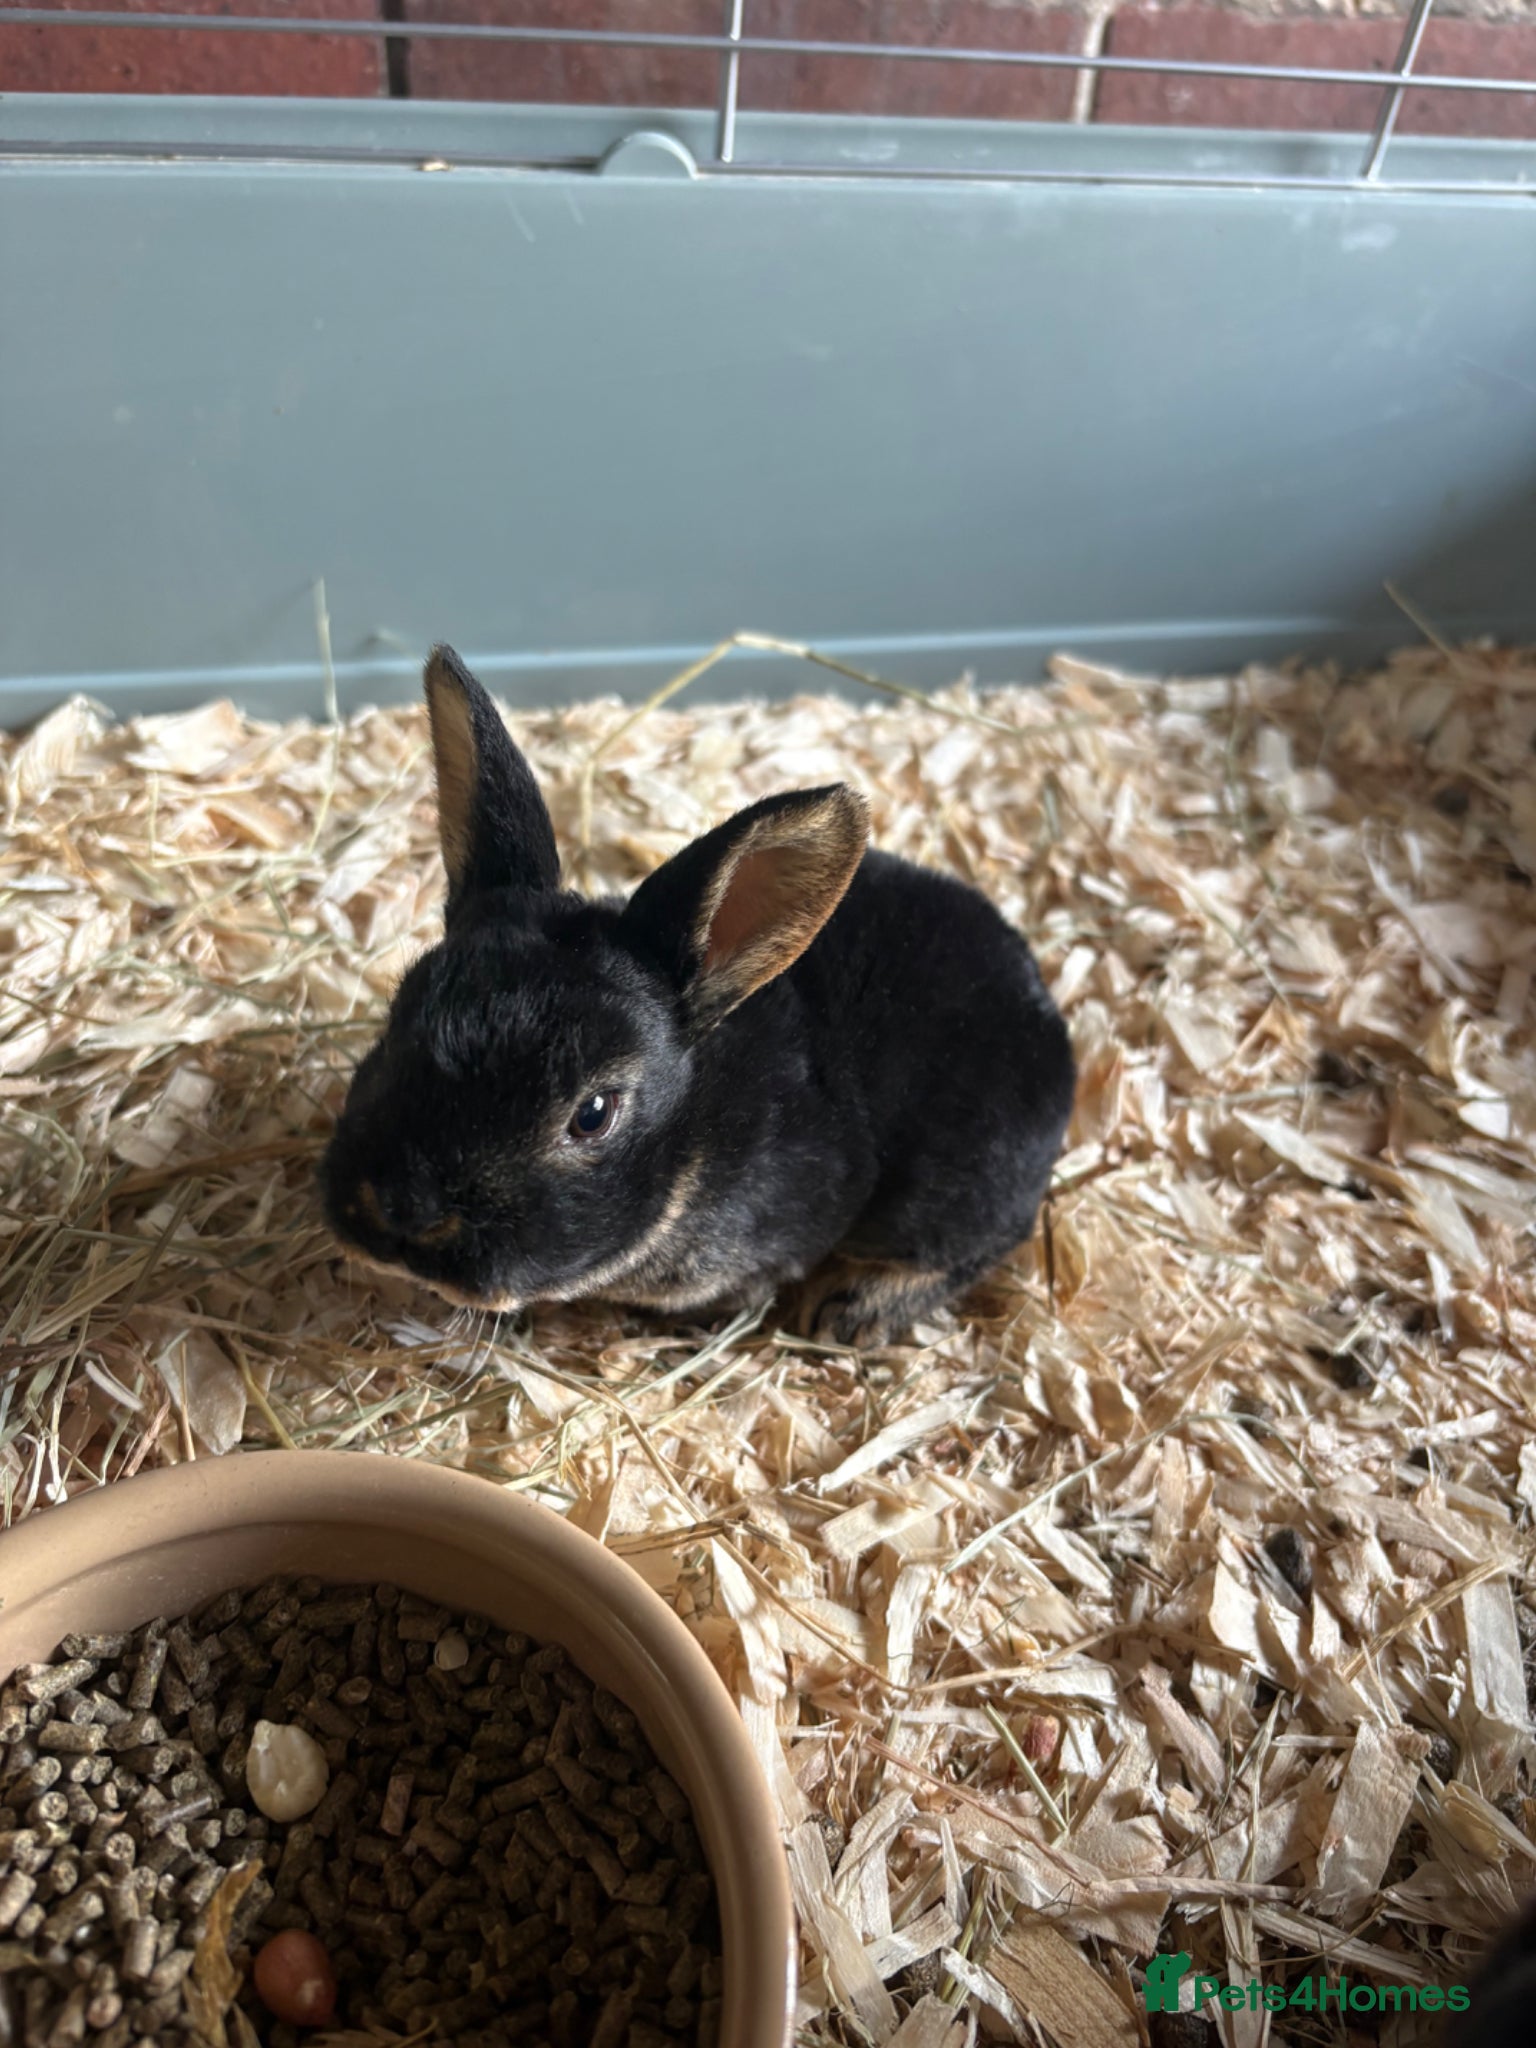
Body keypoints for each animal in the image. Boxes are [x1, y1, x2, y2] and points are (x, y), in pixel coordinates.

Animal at [319, 645, 1076, 1347]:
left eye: (593, 1115)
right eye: (401, 1013)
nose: (402, 1209)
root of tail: (1044, 1015)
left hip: (957, 1189)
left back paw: (850, 1313)